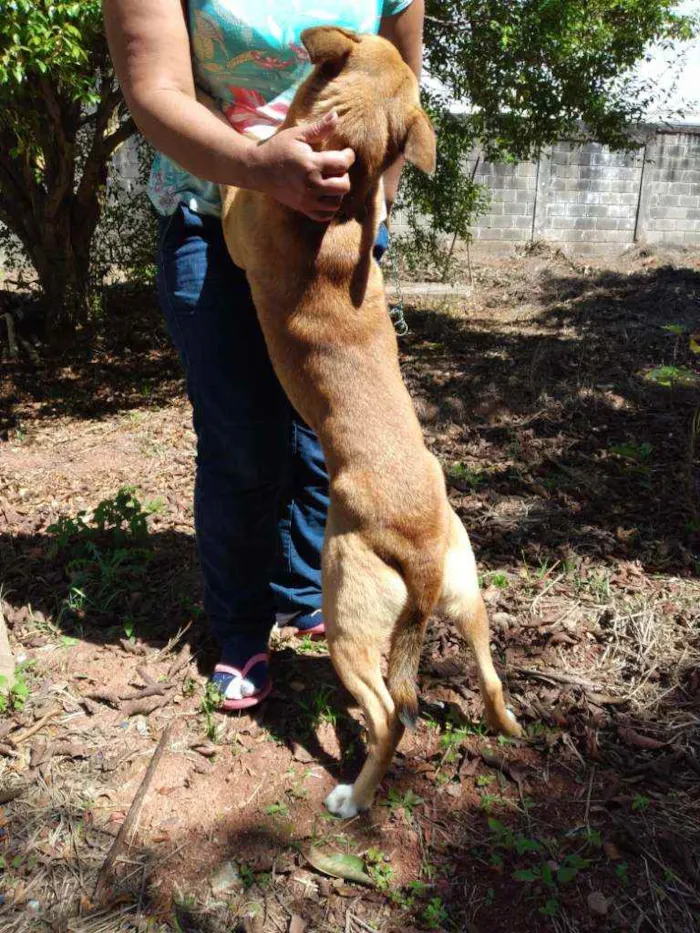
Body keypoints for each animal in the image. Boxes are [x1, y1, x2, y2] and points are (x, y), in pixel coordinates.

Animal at [219, 25, 520, 816]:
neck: (347, 196)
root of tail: (419, 549)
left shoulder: (239, 220)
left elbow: (237, 176)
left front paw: (253, 133)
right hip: (466, 596)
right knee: (490, 670)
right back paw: (506, 725)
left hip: (349, 622)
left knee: (389, 717)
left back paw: (353, 796)